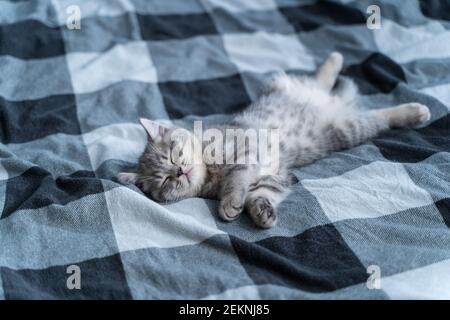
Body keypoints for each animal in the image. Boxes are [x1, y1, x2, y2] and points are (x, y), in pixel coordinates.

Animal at [118, 52, 430, 228]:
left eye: (173, 154)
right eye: (165, 181)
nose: (180, 171)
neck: (210, 172)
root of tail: (330, 102)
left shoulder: (245, 150)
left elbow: (237, 178)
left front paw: (230, 202)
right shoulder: (275, 176)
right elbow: (260, 193)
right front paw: (260, 213)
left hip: (332, 118)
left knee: (373, 109)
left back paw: (413, 109)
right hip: (344, 128)